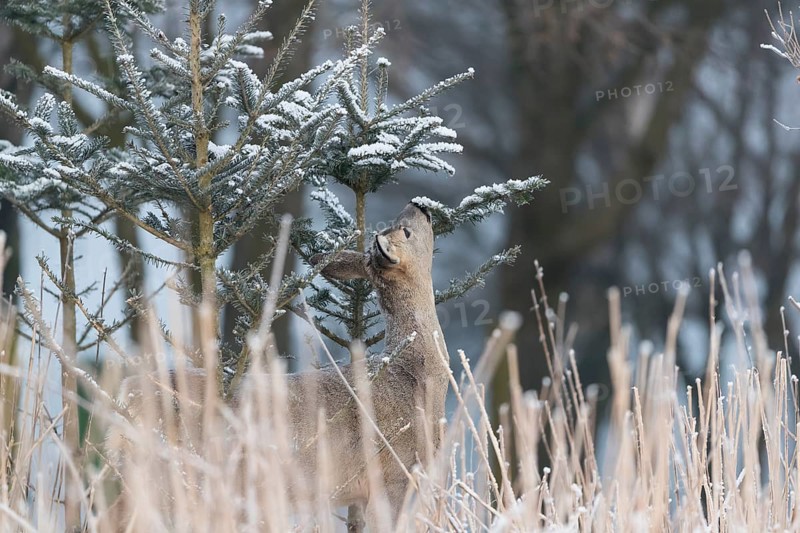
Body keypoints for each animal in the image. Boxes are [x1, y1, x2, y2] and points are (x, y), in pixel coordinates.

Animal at [107, 201, 450, 530]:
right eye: (405, 231)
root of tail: (127, 393)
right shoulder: (393, 472)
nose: (419, 205)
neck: (416, 374)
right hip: (169, 472)